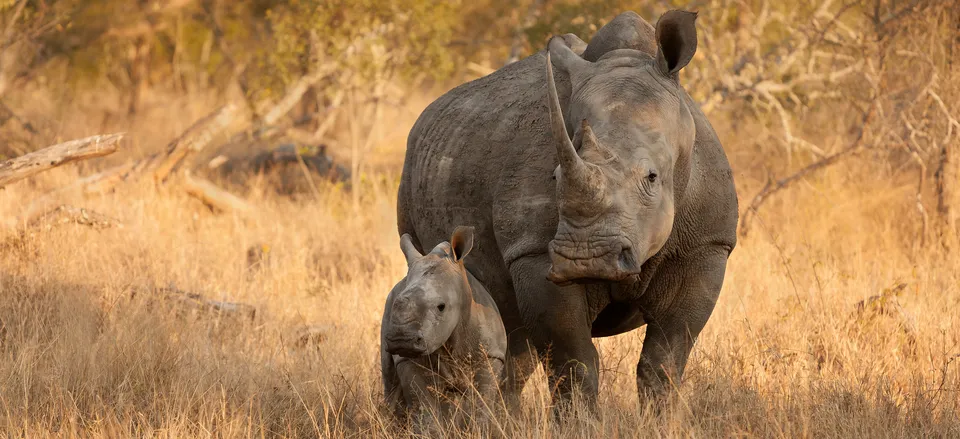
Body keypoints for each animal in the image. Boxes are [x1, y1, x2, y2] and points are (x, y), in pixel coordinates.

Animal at [380, 227, 510, 430]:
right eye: (396, 304)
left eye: (441, 307)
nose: (401, 340)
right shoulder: (408, 359)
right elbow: (425, 410)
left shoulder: (491, 355)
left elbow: (481, 408)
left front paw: (478, 430)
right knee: (390, 383)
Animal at [394, 9, 740, 410]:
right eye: (556, 176)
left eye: (652, 177)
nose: (586, 259)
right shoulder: (532, 251)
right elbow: (573, 361)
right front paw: (579, 419)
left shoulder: (707, 245)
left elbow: (665, 360)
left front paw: (662, 418)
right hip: (412, 171)